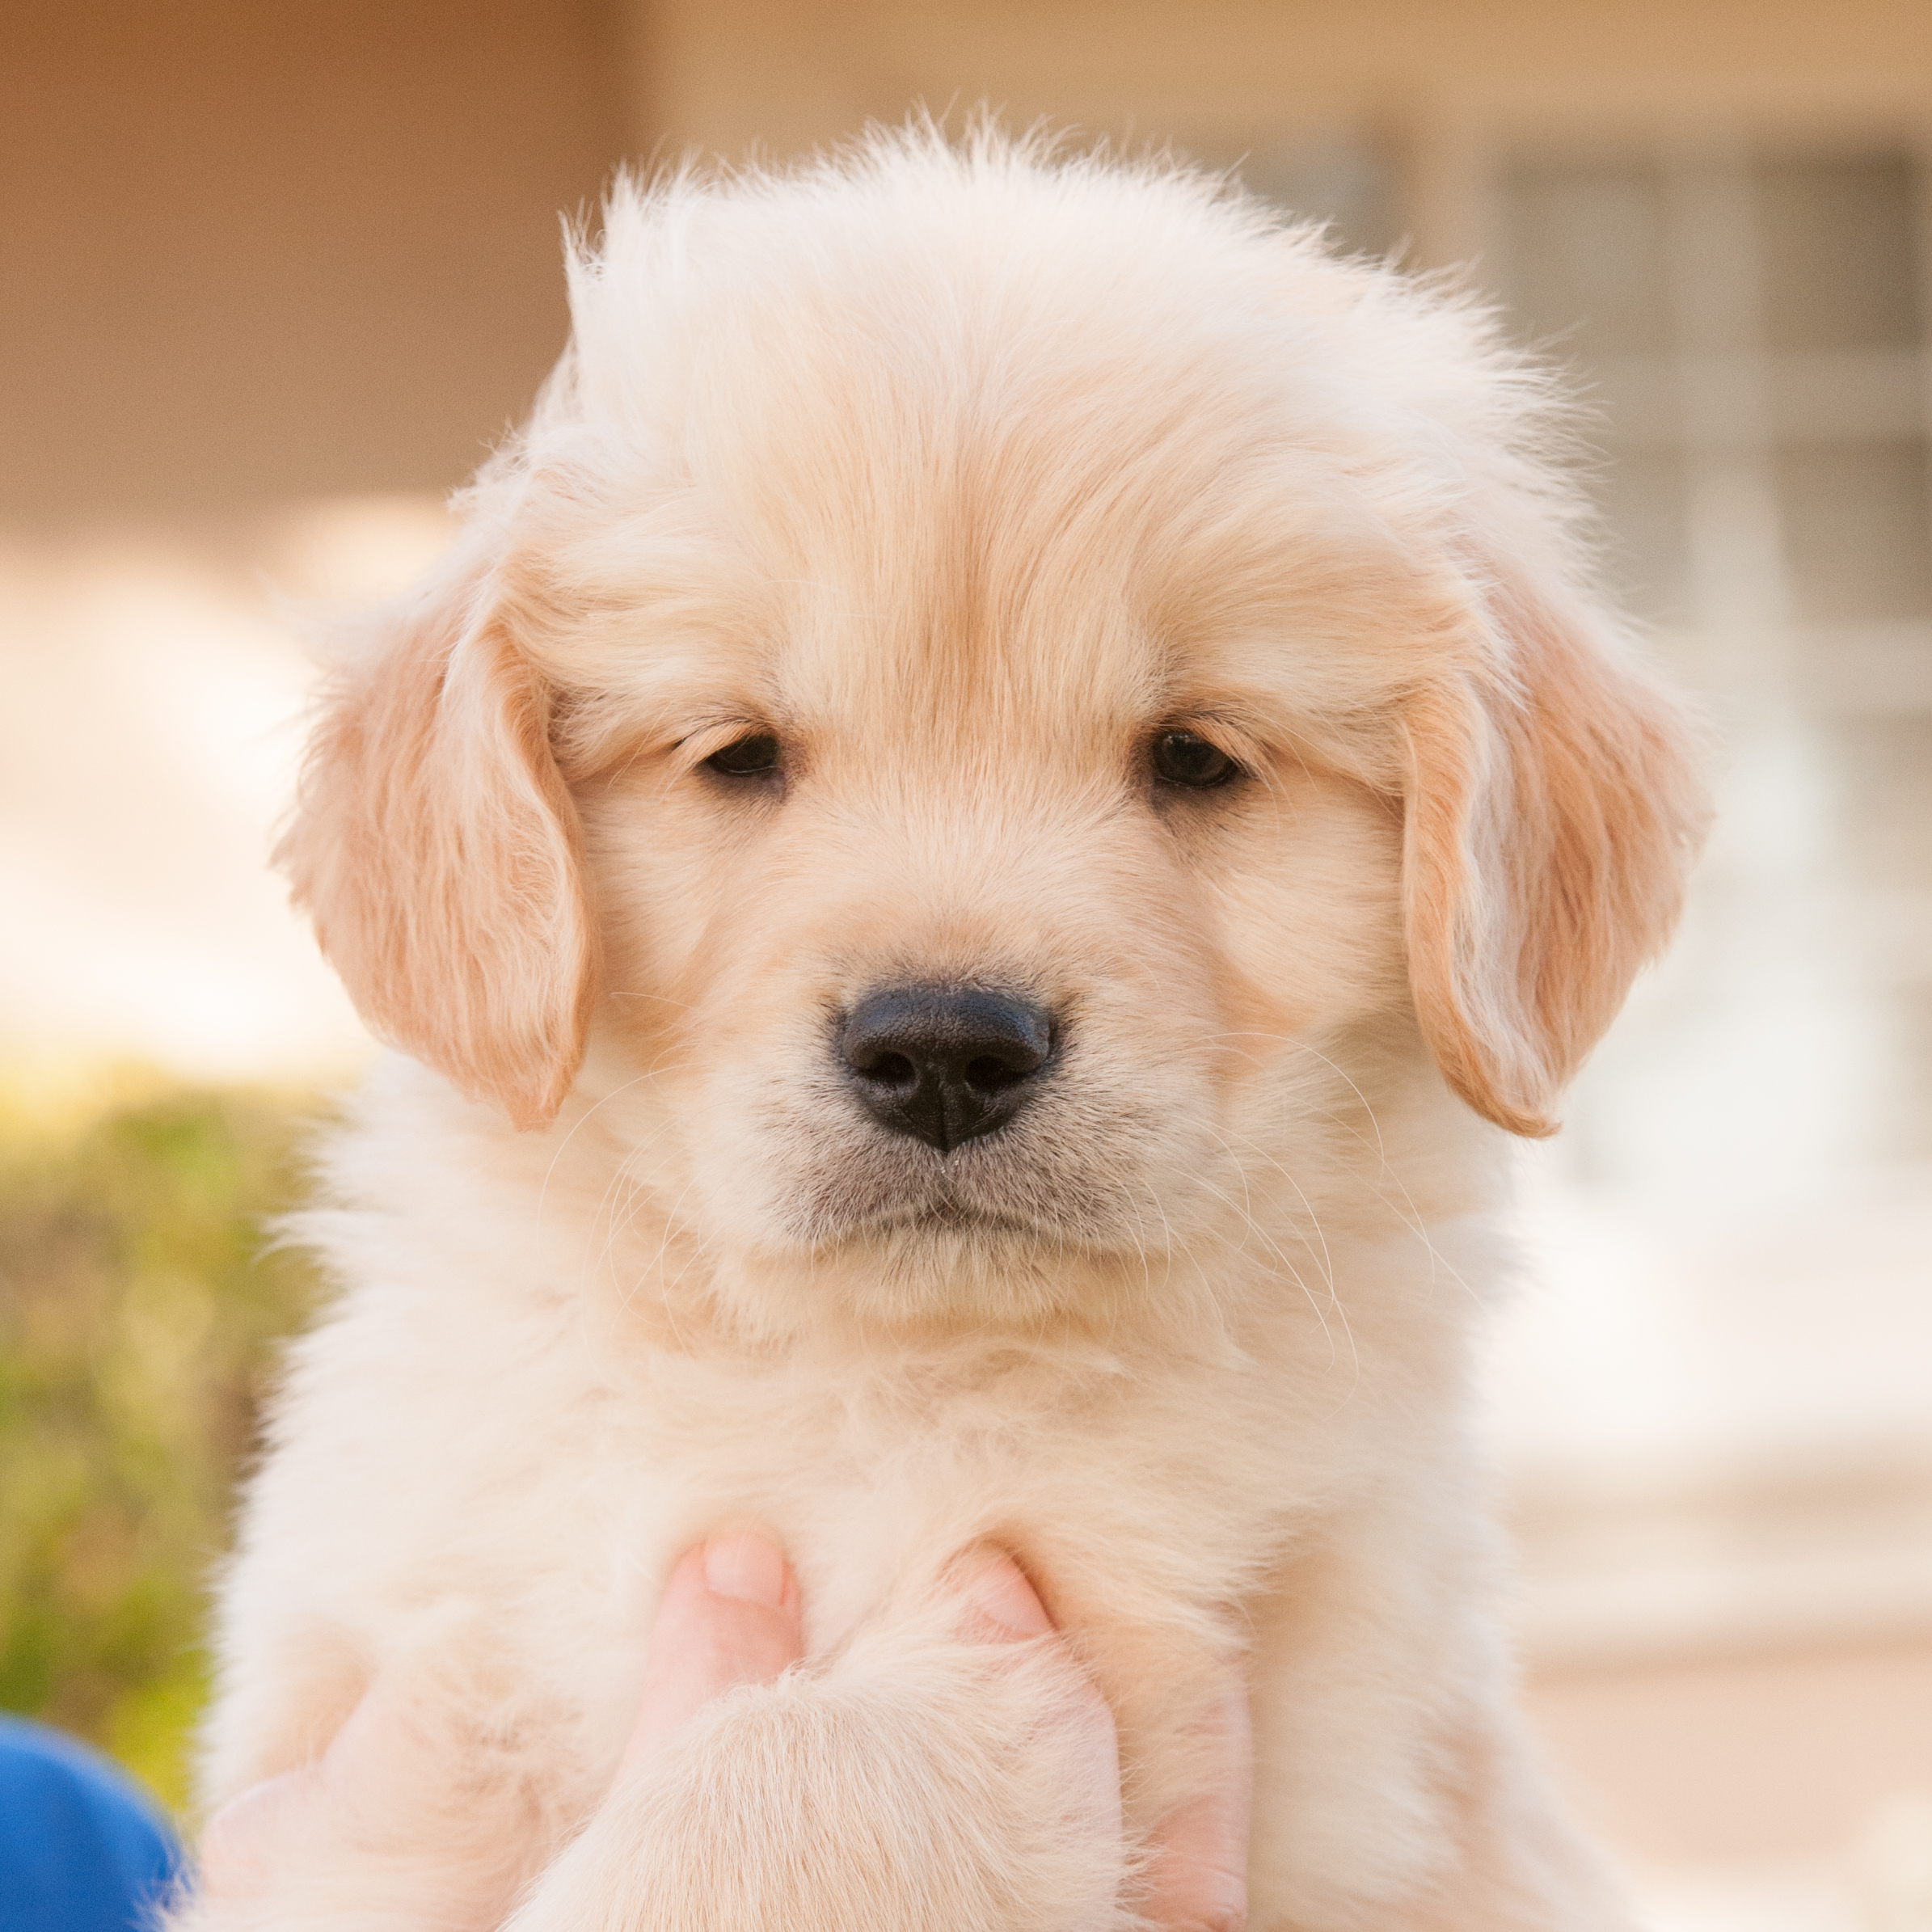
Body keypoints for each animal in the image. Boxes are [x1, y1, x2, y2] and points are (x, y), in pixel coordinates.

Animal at [184, 128, 1707, 1924]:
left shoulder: (1134, 1613)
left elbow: (805, 1756)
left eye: (1194, 759)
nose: (944, 1053)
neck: (858, 1387)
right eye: (737, 755)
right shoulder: (390, 1651)